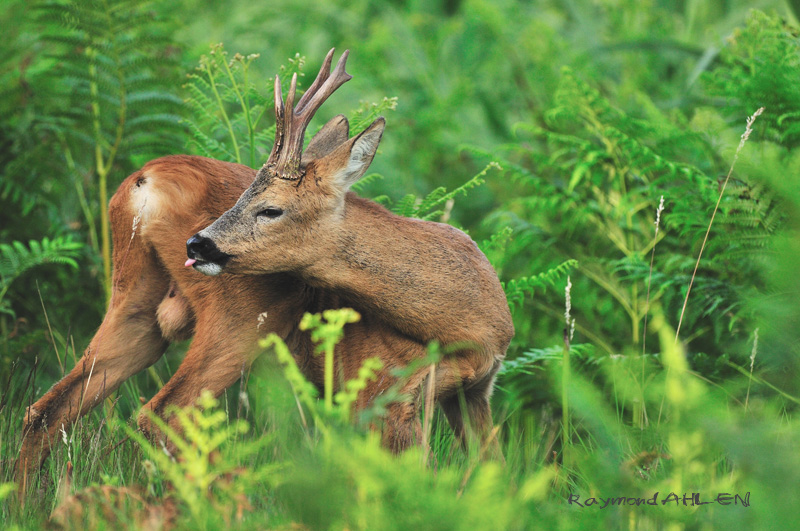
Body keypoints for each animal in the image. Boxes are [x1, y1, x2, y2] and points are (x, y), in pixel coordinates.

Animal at [17, 48, 512, 494]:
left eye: (270, 208)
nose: (197, 243)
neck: (466, 320)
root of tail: (146, 180)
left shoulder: (475, 392)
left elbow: (492, 474)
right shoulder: (380, 393)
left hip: (134, 298)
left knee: (46, 409)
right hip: (239, 316)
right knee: (163, 415)